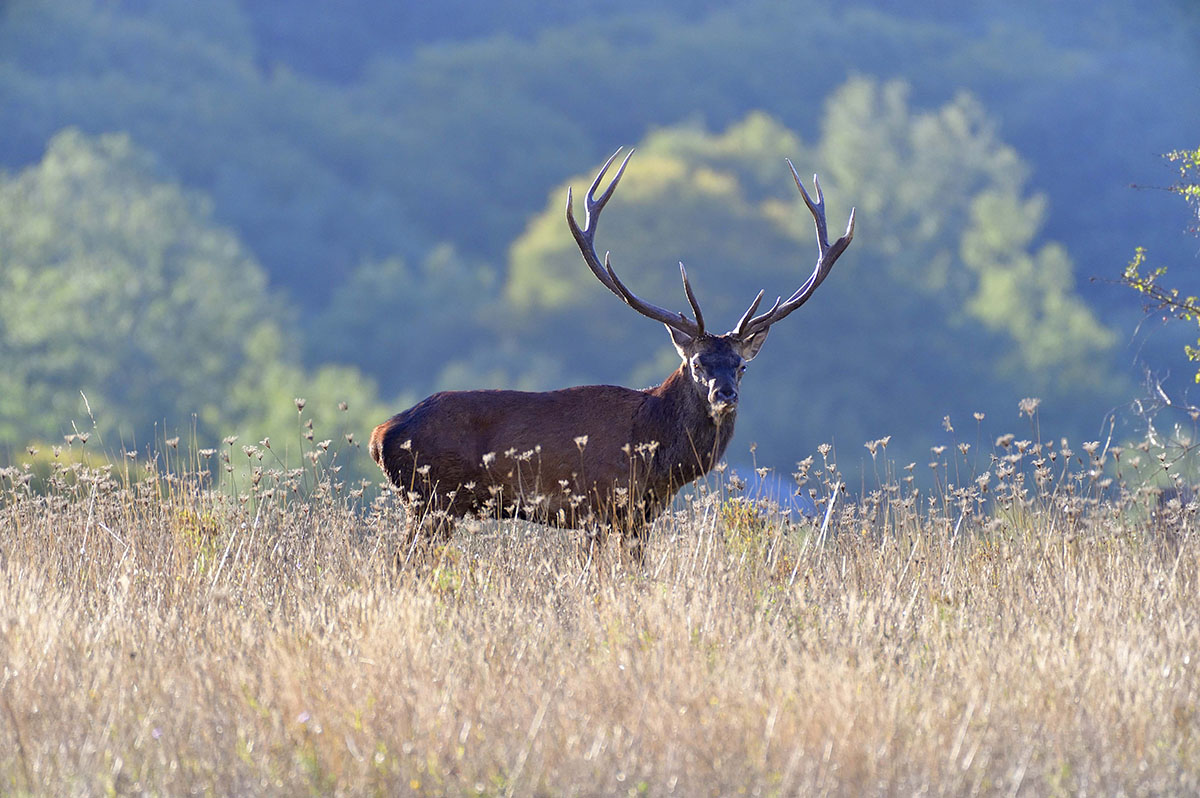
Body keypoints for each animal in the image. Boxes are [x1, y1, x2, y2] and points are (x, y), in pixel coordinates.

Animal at [370, 149, 855, 563]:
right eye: (697, 363)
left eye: (742, 365)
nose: (725, 395)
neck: (656, 452)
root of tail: (381, 436)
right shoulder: (596, 504)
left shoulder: (640, 516)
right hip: (433, 499)